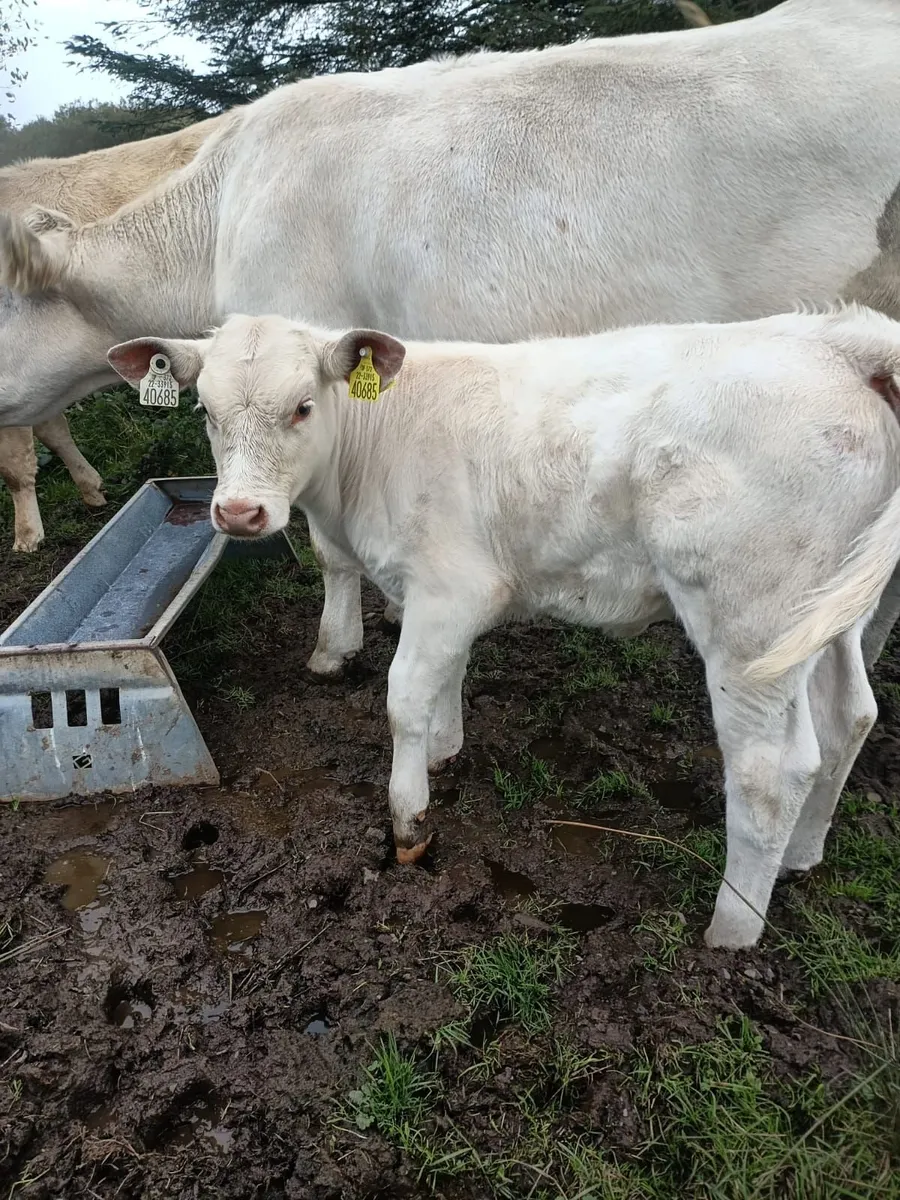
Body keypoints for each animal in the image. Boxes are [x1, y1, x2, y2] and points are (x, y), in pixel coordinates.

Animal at [105, 303, 900, 951]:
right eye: (205, 411)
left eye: (302, 407)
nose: (239, 514)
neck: (375, 445)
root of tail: (834, 340)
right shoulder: (446, 595)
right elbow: (444, 677)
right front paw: (445, 750)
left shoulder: (451, 586)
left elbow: (402, 696)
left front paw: (409, 822)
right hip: (821, 616)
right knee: (848, 720)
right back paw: (802, 856)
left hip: (750, 621)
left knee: (769, 772)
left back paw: (732, 929)